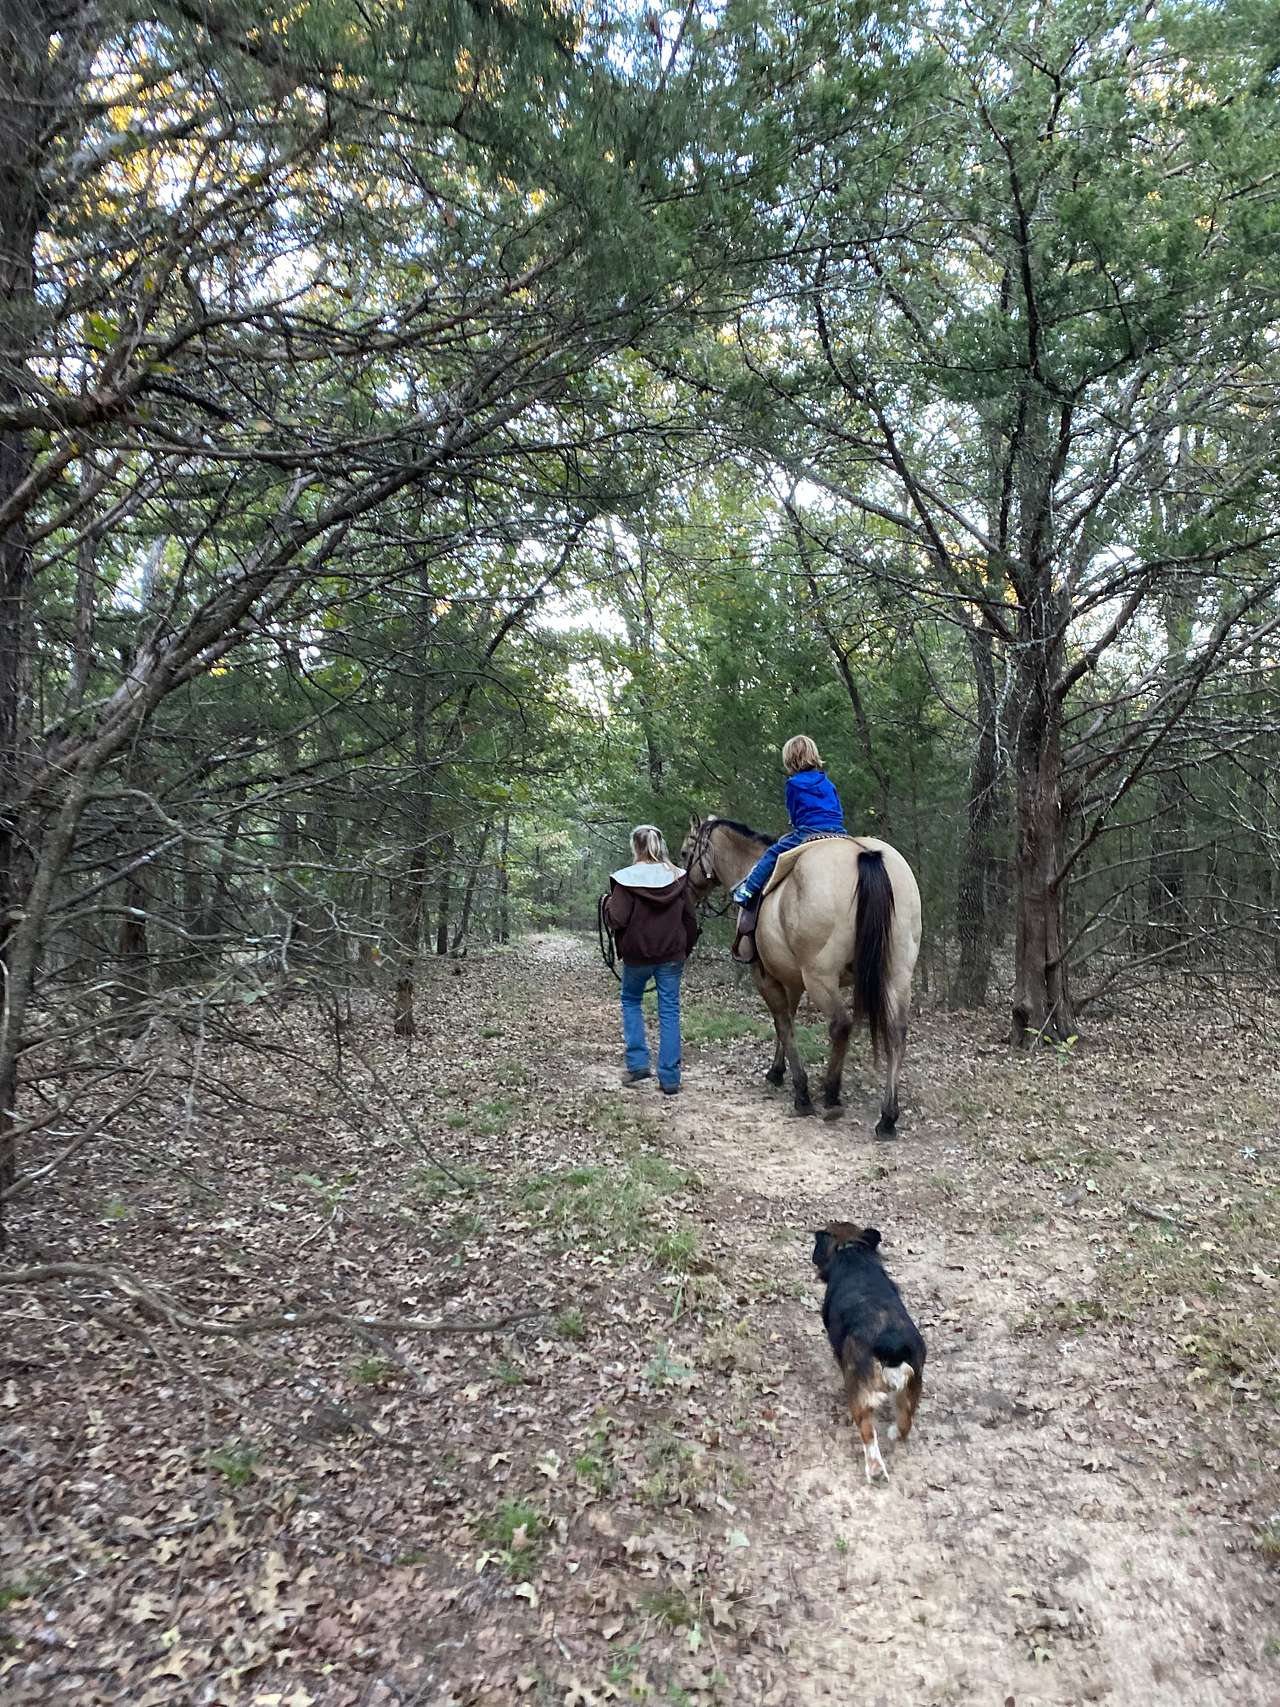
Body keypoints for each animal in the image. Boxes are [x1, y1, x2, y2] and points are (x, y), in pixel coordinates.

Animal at [680, 816, 922, 1137]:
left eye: (685, 853)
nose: (684, 894)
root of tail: (865, 855)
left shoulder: (766, 977)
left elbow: (783, 1023)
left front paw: (800, 1089)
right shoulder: (791, 978)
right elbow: (789, 1020)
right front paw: (777, 1070)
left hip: (820, 976)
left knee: (841, 1025)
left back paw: (830, 1093)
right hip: (897, 975)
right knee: (896, 1033)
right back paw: (887, 1117)